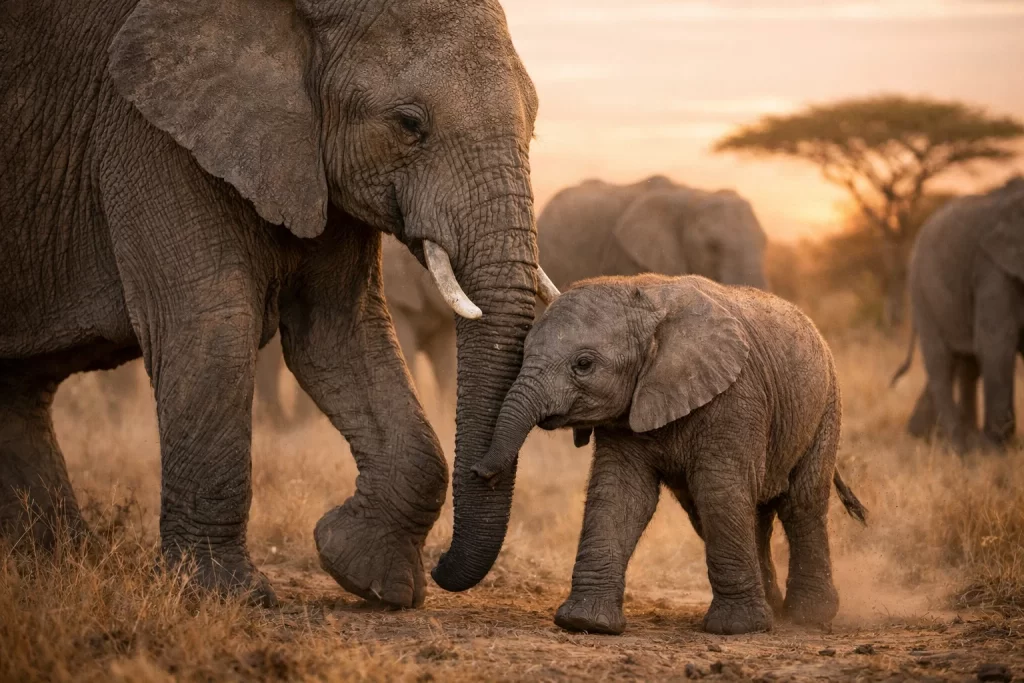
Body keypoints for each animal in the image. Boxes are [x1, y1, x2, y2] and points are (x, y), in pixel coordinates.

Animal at [1, 0, 560, 609]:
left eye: (534, 122)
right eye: (410, 124)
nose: (442, 571)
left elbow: (341, 333)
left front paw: (370, 578)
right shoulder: (145, 134)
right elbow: (211, 325)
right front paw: (226, 596)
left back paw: (56, 560)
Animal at [464, 275, 867, 634]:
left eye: (584, 364)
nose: (479, 472)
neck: (644, 296)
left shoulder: (736, 398)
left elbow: (718, 490)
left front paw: (736, 629)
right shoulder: (627, 413)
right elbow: (621, 495)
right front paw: (586, 623)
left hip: (826, 406)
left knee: (800, 503)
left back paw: (807, 617)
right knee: (746, 514)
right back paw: (775, 609)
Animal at [891, 177, 1024, 451]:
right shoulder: (992, 270)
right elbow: (997, 344)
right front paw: (996, 451)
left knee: (965, 363)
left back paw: (928, 436)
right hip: (923, 292)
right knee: (941, 362)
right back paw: (959, 446)